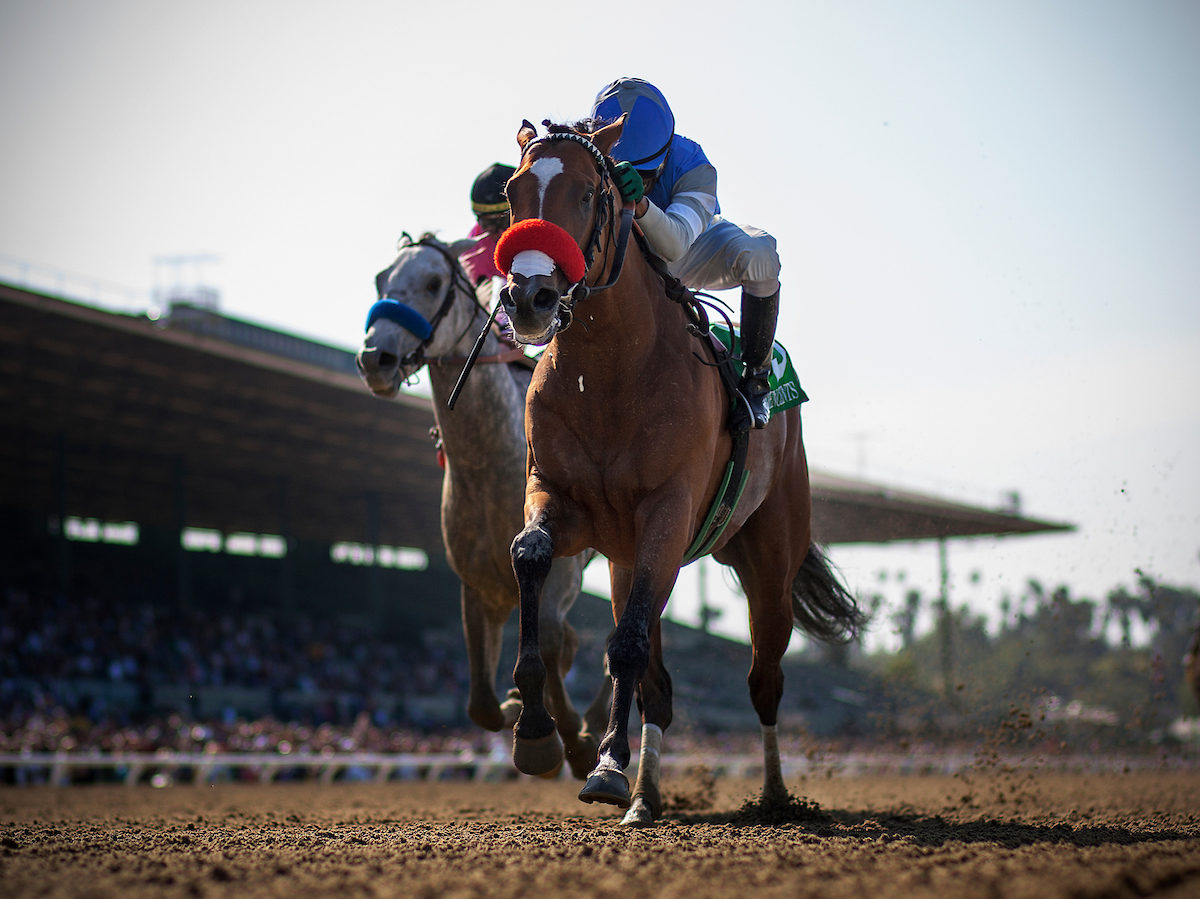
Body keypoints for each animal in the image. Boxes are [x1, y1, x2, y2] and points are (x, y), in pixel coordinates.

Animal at [350, 232, 604, 777]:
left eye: (433, 282)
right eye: (381, 279)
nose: (374, 359)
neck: (491, 465)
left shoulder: (560, 574)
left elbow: (552, 641)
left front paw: (566, 739)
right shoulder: (478, 586)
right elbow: (480, 702)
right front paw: (516, 708)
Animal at [496, 117, 864, 820]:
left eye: (589, 193)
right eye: (512, 190)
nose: (530, 296)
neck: (609, 371)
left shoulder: (667, 511)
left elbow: (628, 646)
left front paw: (605, 766)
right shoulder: (559, 498)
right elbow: (529, 556)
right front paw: (535, 729)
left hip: (767, 562)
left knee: (763, 678)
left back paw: (774, 795)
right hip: (629, 563)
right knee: (659, 685)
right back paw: (645, 795)